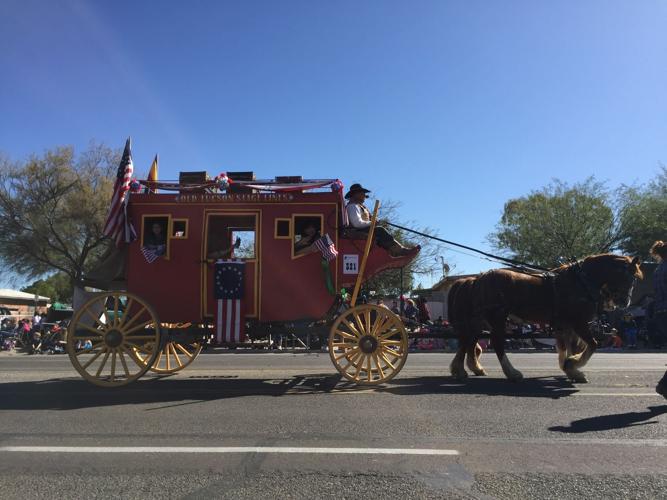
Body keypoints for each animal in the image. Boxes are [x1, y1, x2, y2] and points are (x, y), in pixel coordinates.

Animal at [448, 254, 640, 382]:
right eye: (629, 277)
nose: (625, 301)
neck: (580, 282)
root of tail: (476, 279)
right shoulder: (578, 323)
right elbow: (592, 344)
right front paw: (572, 366)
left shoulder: (566, 325)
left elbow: (567, 347)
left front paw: (570, 369)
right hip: (497, 317)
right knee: (496, 342)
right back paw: (511, 372)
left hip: (479, 320)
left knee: (468, 341)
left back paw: (465, 369)